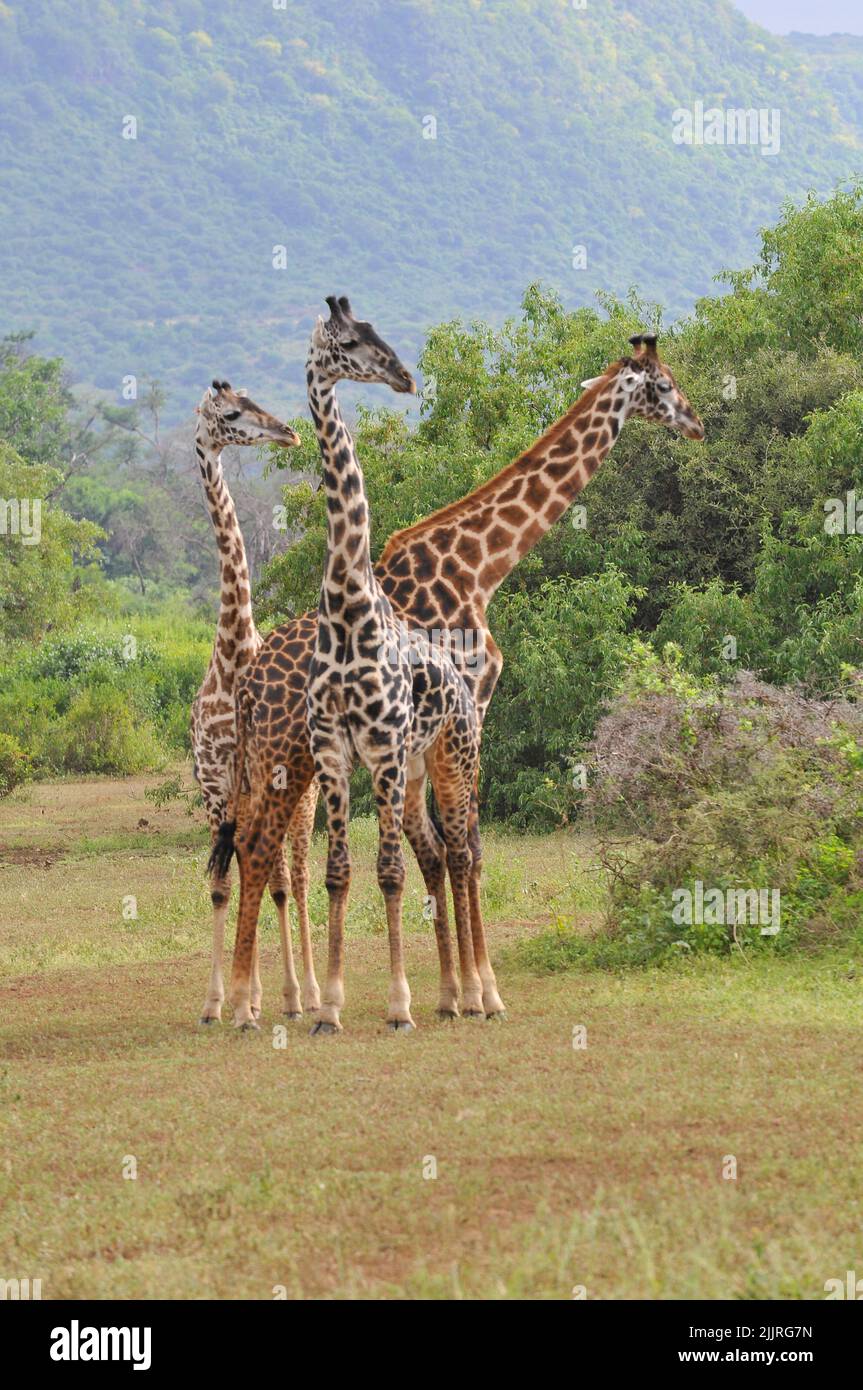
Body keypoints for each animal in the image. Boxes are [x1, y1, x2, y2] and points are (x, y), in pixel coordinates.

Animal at [212, 325, 703, 1023]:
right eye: (663, 385)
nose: (697, 422)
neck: (479, 565)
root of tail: (248, 683)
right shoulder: (471, 709)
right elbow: (463, 847)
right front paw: (479, 989)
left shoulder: (428, 740)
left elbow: (436, 851)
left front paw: (451, 990)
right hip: (288, 758)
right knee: (258, 851)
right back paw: (254, 1001)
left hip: (274, 764)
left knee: (250, 854)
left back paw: (253, 1000)